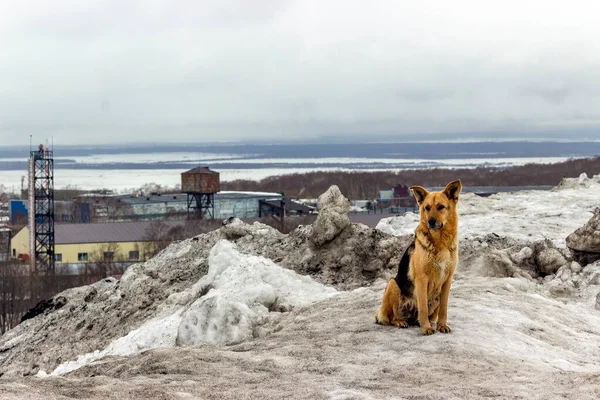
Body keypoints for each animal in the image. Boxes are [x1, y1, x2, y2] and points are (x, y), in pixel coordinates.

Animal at [376, 180, 464, 334]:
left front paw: (442, 325)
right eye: (427, 208)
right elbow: (422, 306)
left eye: (441, 207)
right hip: (393, 284)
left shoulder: (447, 280)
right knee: (393, 317)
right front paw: (426, 328)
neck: (440, 243)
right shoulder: (422, 279)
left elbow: (444, 308)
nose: (431, 222)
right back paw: (401, 322)